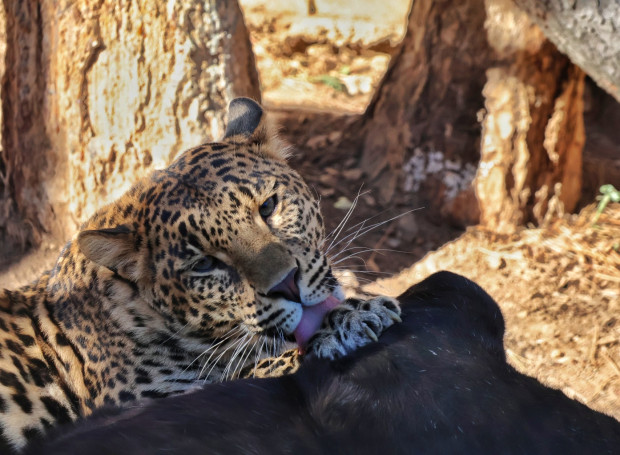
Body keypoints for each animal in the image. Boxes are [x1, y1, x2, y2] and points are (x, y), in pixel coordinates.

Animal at [0, 97, 402, 452]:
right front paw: (348, 319)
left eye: (269, 206)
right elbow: (261, 371)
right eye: (204, 265)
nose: (287, 284)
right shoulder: (154, 402)